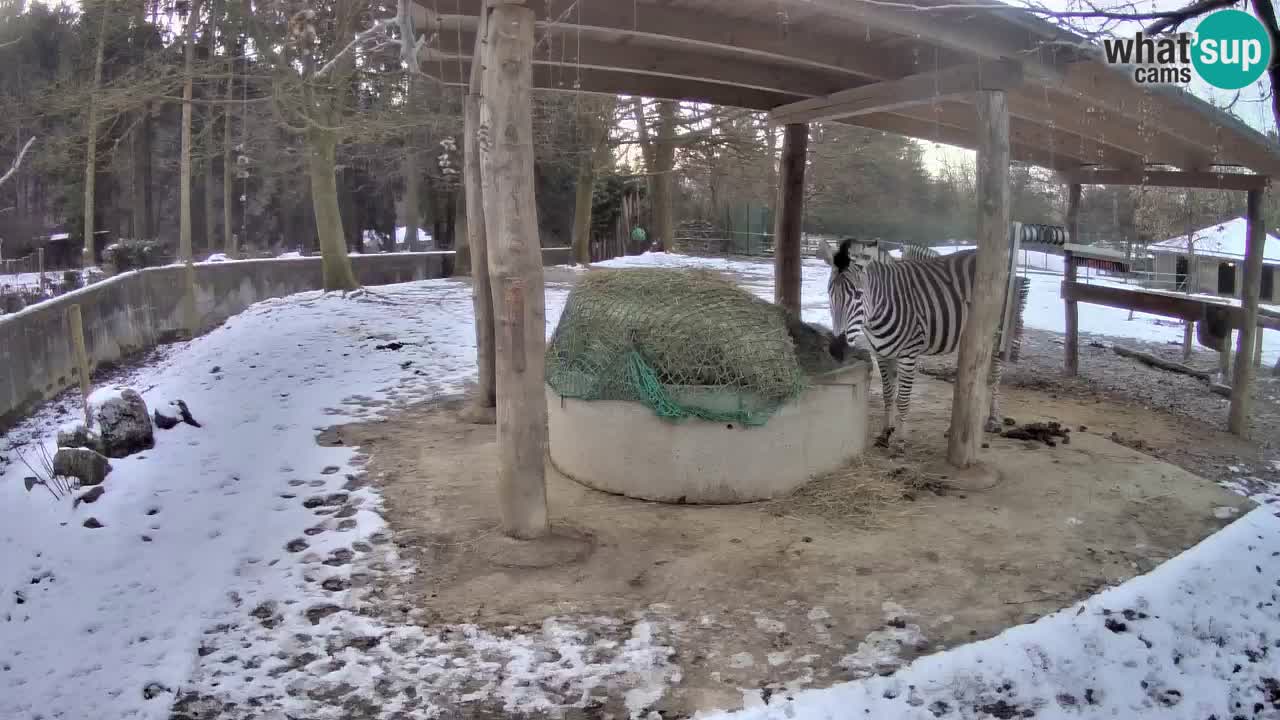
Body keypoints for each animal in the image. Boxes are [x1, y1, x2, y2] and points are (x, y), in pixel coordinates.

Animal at [819, 238, 1029, 445]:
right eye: (829, 293)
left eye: (858, 295)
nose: (837, 348)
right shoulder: (881, 353)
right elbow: (888, 394)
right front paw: (886, 432)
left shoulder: (909, 353)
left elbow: (903, 398)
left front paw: (901, 441)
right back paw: (953, 428)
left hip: (995, 333)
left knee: (995, 374)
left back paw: (993, 420)